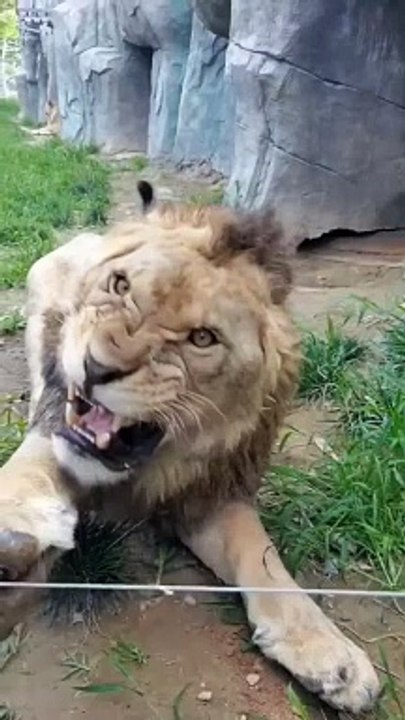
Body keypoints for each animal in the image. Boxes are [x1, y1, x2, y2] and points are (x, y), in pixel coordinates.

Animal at [0, 182, 379, 713]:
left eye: (202, 338)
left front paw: (330, 655)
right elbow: (30, 472)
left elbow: (262, 557)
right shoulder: (55, 426)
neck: (148, 467)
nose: (96, 367)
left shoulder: (211, 494)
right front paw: (16, 526)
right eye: (119, 286)